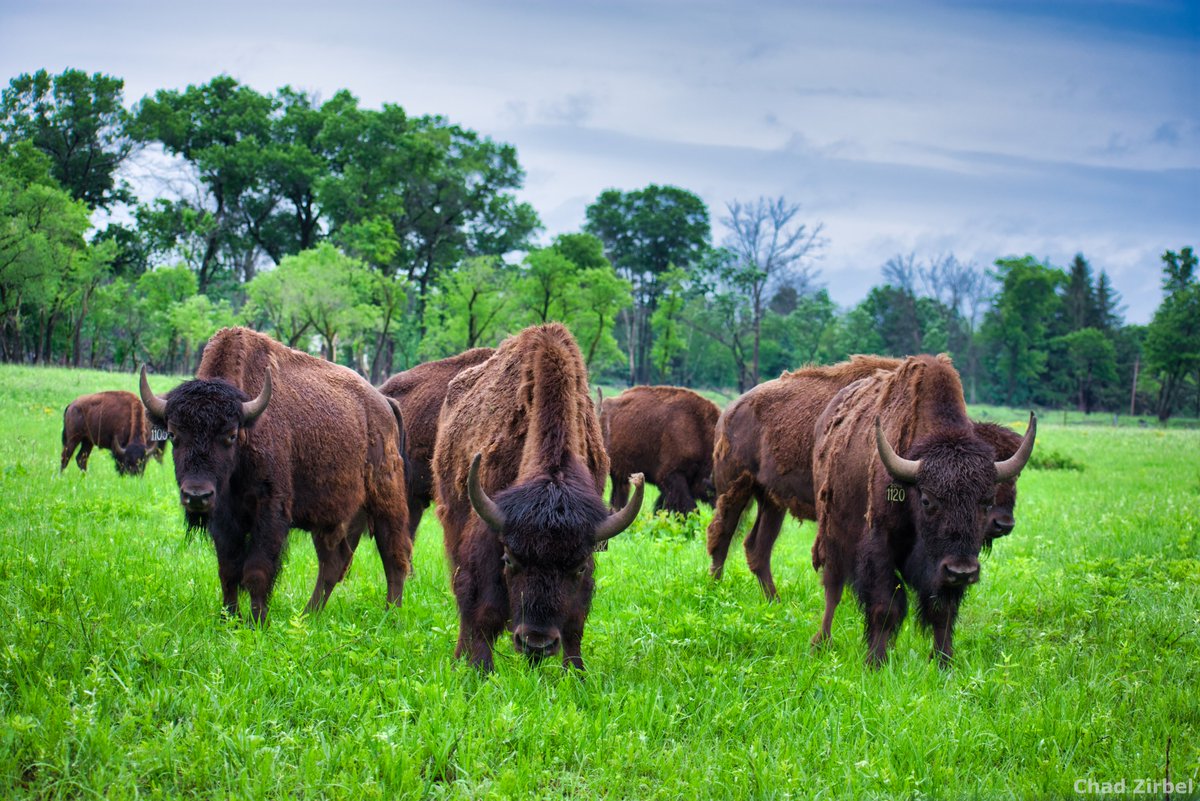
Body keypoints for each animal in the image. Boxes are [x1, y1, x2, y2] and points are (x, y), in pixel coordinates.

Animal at [139, 326, 410, 624]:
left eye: (230, 435)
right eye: (173, 435)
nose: (196, 495)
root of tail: (384, 403)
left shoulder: (270, 510)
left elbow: (257, 570)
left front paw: (258, 622)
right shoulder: (224, 517)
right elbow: (228, 569)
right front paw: (229, 619)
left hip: (386, 499)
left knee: (394, 554)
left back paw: (391, 616)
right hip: (331, 517)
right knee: (333, 563)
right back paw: (308, 616)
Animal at [432, 323, 645, 670]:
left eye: (578, 568)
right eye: (510, 560)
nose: (536, 643)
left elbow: (575, 620)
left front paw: (576, 672)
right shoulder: (489, 535)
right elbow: (484, 608)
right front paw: (480, 669)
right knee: (463, 593)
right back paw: (460, 657)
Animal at [810, 354, 1034, 665]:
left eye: (986, 500)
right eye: (927, 500)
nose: (961, 571)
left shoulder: (946, 569)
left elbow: (943, 612)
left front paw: (944, 662)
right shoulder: (880, 546)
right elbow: (885, 605)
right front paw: (875, 662)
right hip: (833, 533)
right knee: (833, 588)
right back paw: (822, 643)